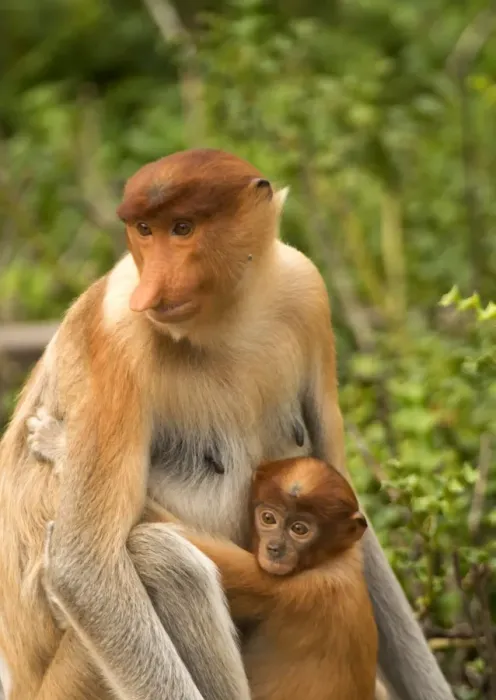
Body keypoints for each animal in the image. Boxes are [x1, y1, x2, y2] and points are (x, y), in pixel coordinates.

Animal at [26, 412, 378, 700]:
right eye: (269, 518)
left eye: (300, 529)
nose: (275, 549)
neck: (334, 556)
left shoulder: (292, 586)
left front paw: (57, 443)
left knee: (160, 554)